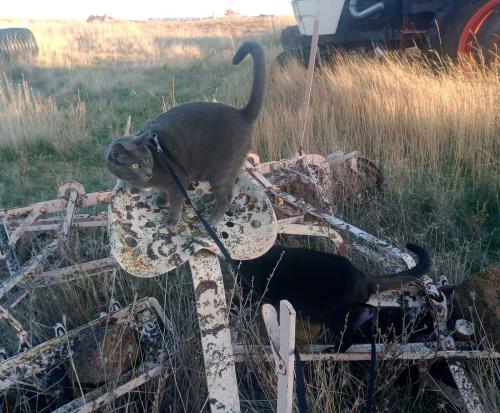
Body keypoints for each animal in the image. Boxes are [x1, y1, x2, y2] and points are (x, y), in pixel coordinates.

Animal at [105, 41, 266, 229]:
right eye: (135, 165)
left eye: (146, 160)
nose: (148, 173)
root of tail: (242, 114)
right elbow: (163, 192)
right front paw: (161, 198)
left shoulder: (178, 180)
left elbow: (175, 202)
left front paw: (172, 220)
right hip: (228, 169)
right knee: (229, 187)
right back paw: (208, 199)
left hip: (221, 168)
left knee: (226, 197)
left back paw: (210, 221)